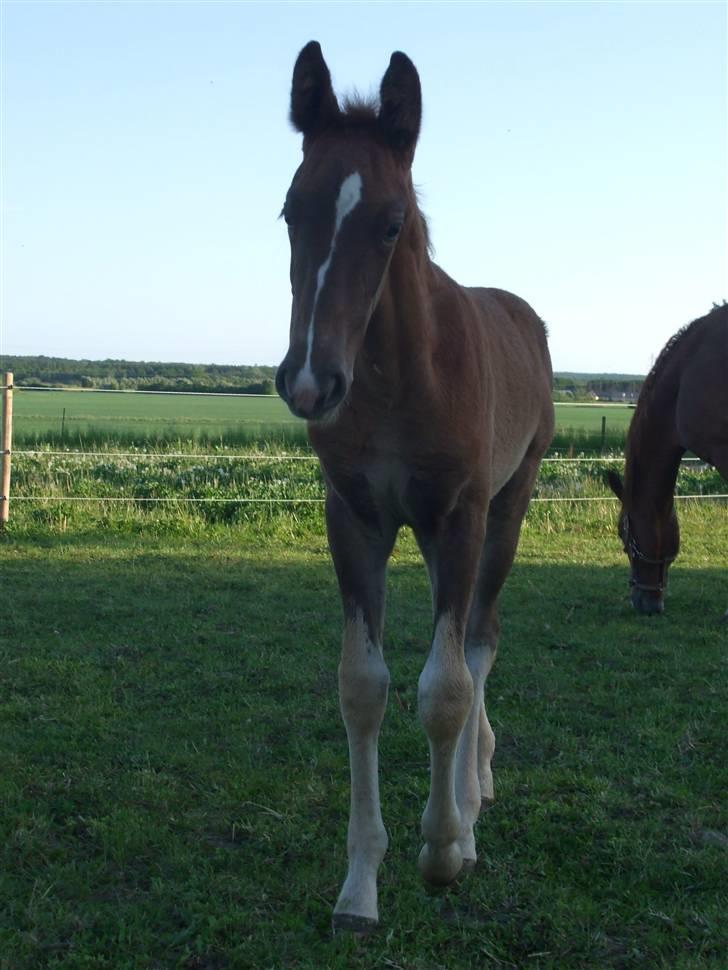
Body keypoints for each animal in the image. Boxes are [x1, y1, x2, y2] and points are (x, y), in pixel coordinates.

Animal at [276, 41, 556, 928]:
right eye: (291, 211)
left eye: (392, 223)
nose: (310, 383)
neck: (399, 379)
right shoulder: (354, 517)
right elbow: (363, 687)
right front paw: (360, 885)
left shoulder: (461, 514)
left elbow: (445, 689)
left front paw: (442, 851)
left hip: (505, 509)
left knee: (479, 639)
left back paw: (469, 803)